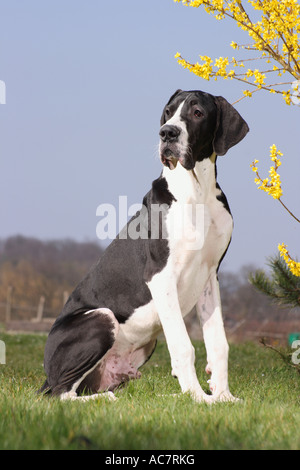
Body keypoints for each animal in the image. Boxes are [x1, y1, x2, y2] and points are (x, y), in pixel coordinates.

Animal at [38, 90, 250, 402]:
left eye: (197, 112)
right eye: (168, 111)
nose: (167, 133)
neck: (197, 191)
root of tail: (46, 373)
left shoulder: (210, 275)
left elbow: (218, 343)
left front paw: (223, 397)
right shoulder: (161, 276)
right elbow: (183, 346)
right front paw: (198, 399)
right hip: (100, 317)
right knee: (62, 394)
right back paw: (107, 399)